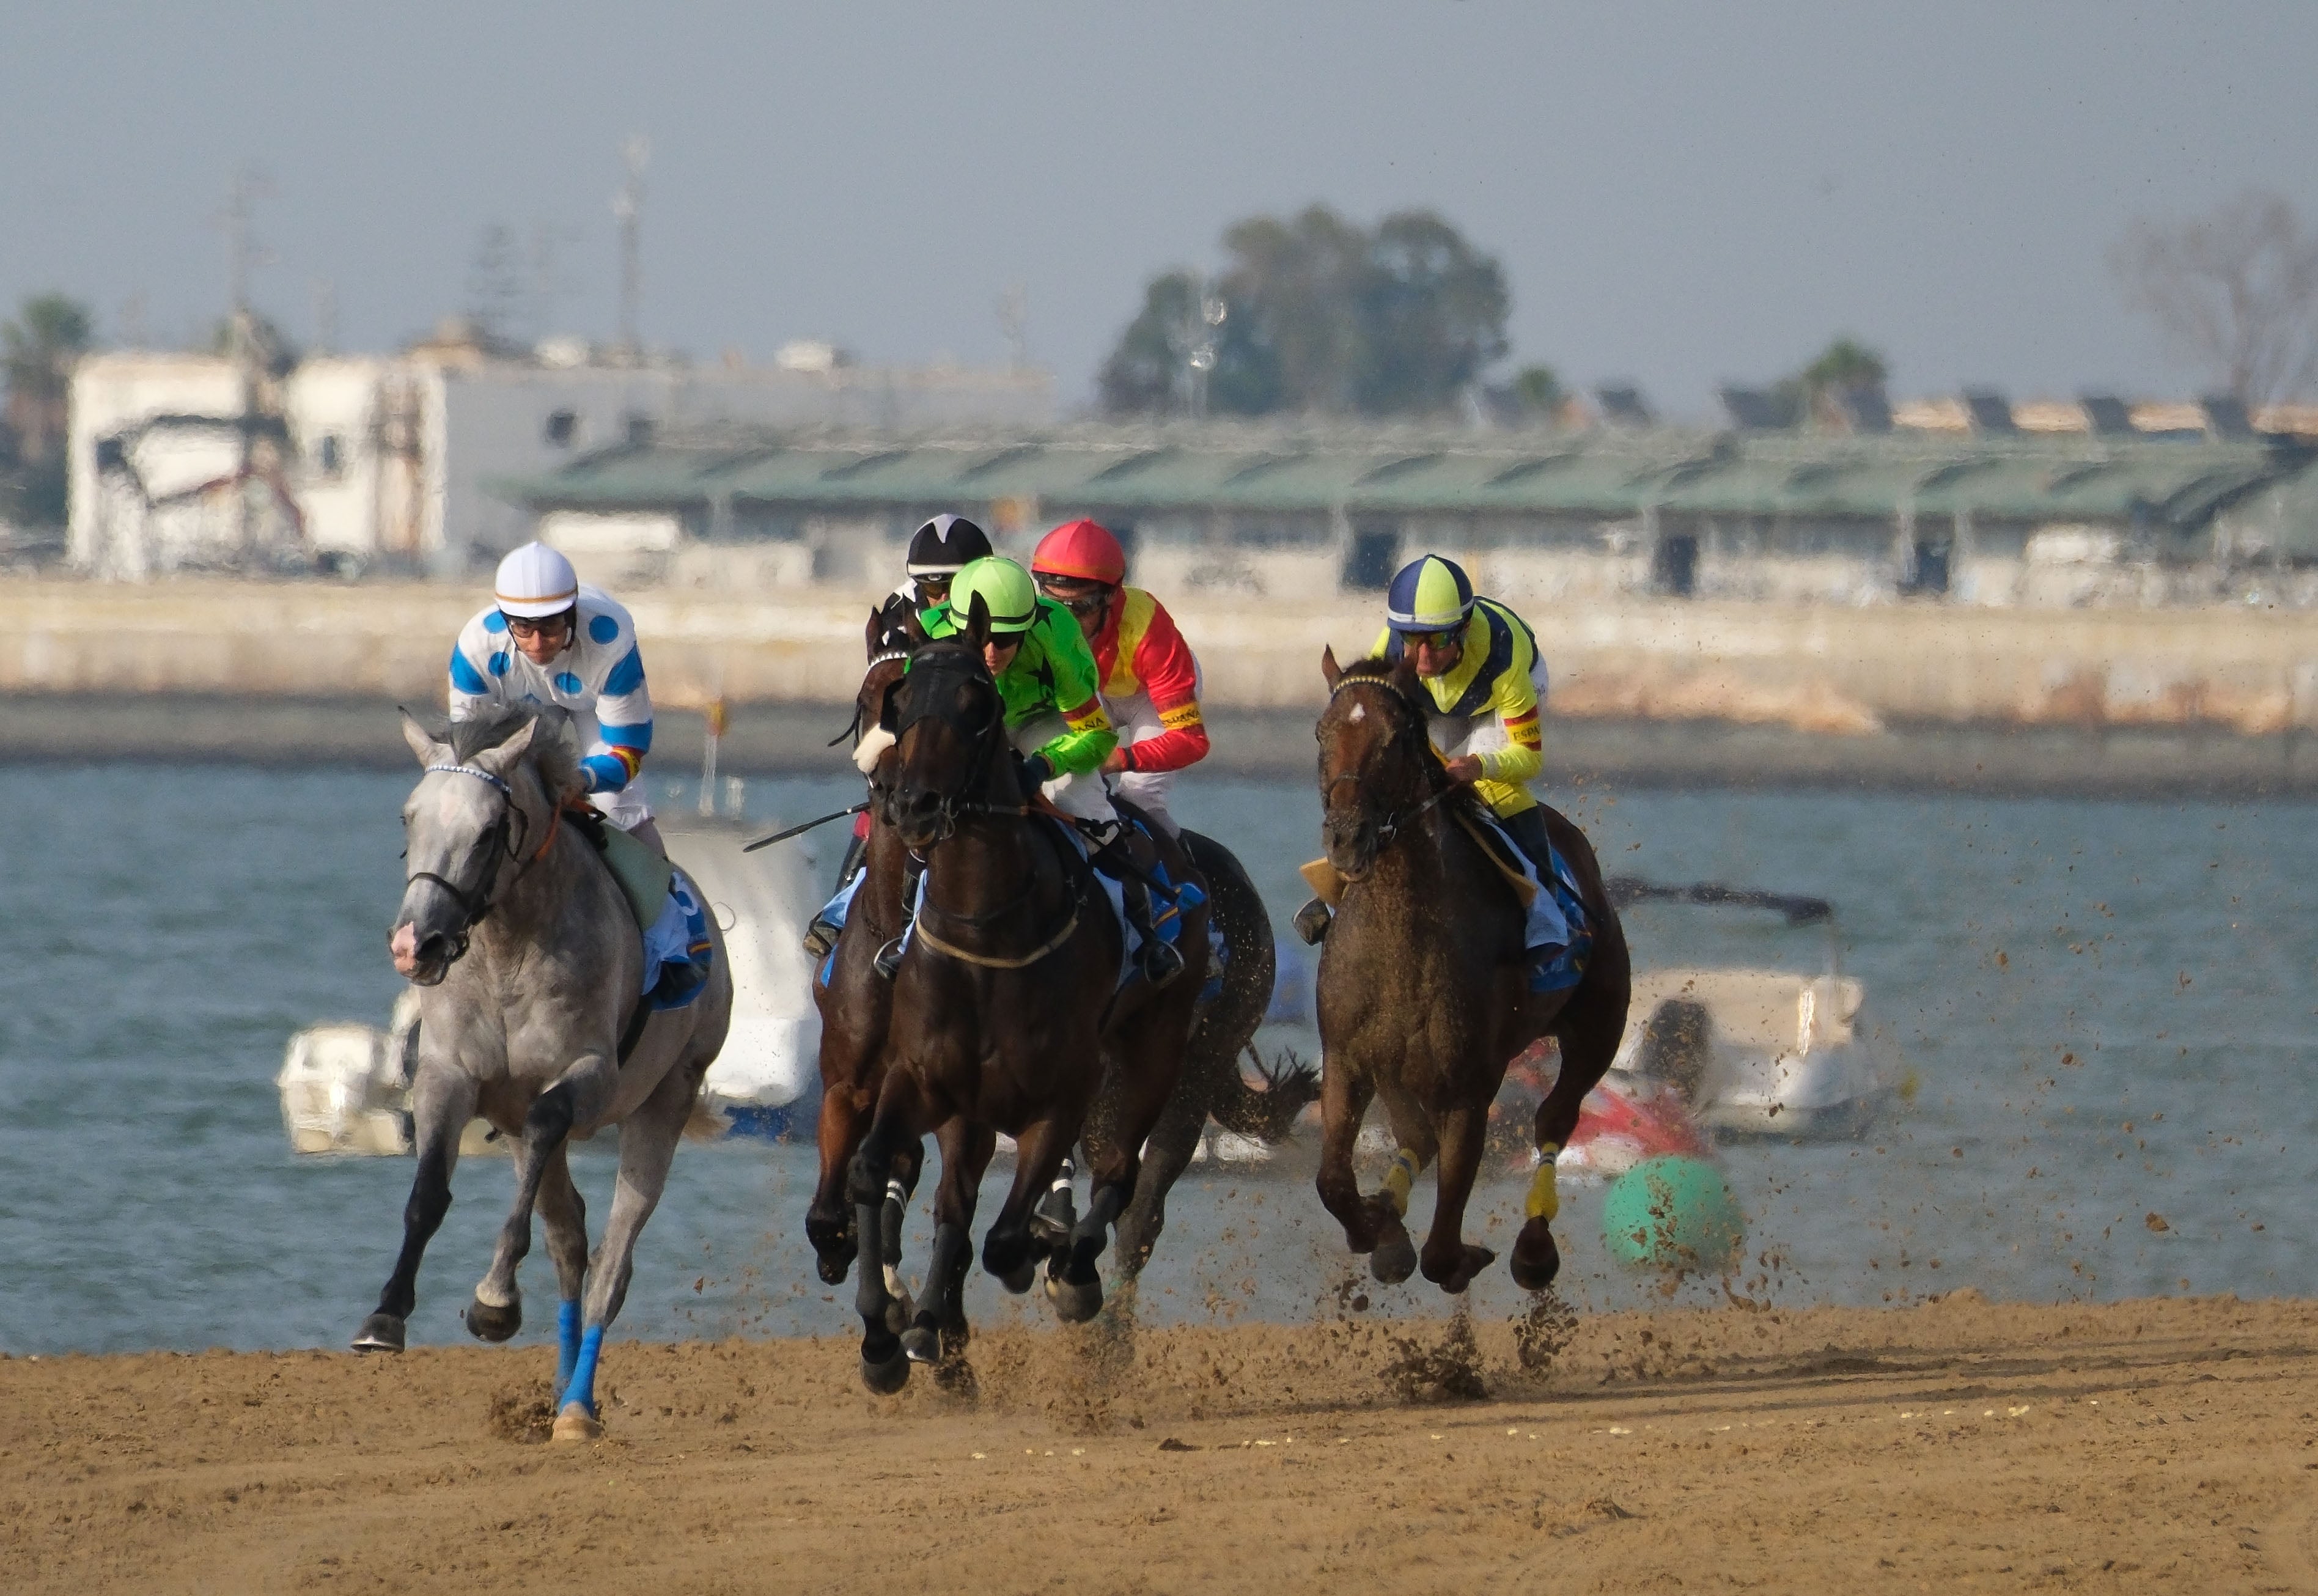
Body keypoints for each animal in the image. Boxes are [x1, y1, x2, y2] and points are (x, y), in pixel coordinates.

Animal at [355, 704, 732, 1436]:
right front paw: (385, 1316)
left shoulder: (588, 1076)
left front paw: (494, 1300)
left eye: (487, 832)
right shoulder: (450, 1076)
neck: (508, 950)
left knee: (612, 1263)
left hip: (665, 1100)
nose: (416, 945)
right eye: (410, 817)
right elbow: (427, 1194)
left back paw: (578, 1408)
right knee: (569, 1237)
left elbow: (548, 1121)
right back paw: (559, 1390)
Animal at [853, 602, 1215, 1389]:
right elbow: (879, 1171)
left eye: (977, 703)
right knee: (957, 1204)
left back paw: (1071, 1273)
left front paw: (1048, 1262)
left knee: (1120, 1175)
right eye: (902, 699)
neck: (985, 926)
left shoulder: (1064, 1095)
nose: (915, 804)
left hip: (1156, 1048)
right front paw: (884, 1339)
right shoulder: (924, 1079)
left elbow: (1007, 1236)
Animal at [1326, 649, 1632, 1297]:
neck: (1400, 944)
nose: (1346, 838)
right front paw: (1377, 1229)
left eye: (1394, 739)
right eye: (1322, 732)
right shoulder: (1347, 1057)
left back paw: (1535, 1247)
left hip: (1598, 1027)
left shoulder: (1470, 1086)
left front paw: (1458, 1252)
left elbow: (1443, 1252)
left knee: (1555, 1117)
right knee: (1414, 1138)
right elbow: (1334, 1182)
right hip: (1395, 1065)